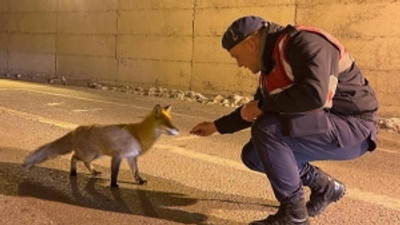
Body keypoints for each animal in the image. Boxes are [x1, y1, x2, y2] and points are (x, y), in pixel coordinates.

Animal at [21, 104, 178, 187]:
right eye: (167, 123)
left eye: (171, 121)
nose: (178, 130)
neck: (140, 133)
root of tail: (76, 129)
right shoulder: (118, 156)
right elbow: (115, 173)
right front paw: (113, 185)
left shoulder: (131, 157)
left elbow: (136, 172)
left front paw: (139, 181)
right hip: (89, 154)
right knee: (74, 157)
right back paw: (73, 172)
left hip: (97, 155)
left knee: (84, 162)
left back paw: (93, 172)